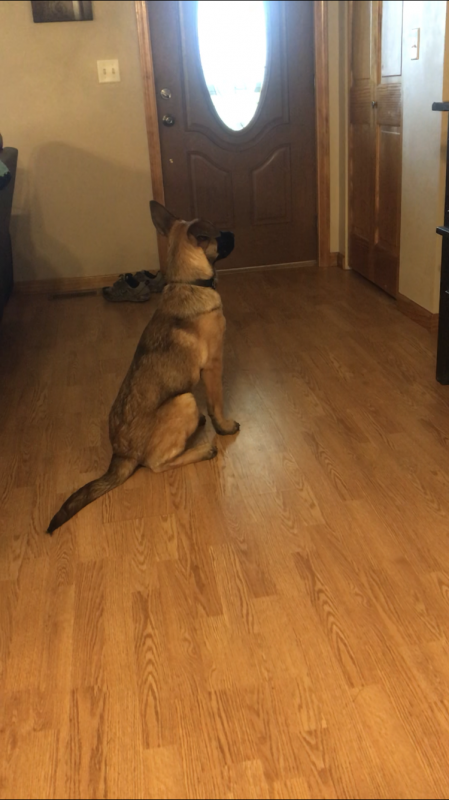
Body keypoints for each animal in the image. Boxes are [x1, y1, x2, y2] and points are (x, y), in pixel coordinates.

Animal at [47, 201, 239, 533]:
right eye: (219, 233)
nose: (235, 234)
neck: (188, 282)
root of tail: (121, 453)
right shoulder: (214, 365)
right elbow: (217, 404)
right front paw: (224, 428)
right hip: (184, 401)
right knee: (157, 464)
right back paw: (203, 449)